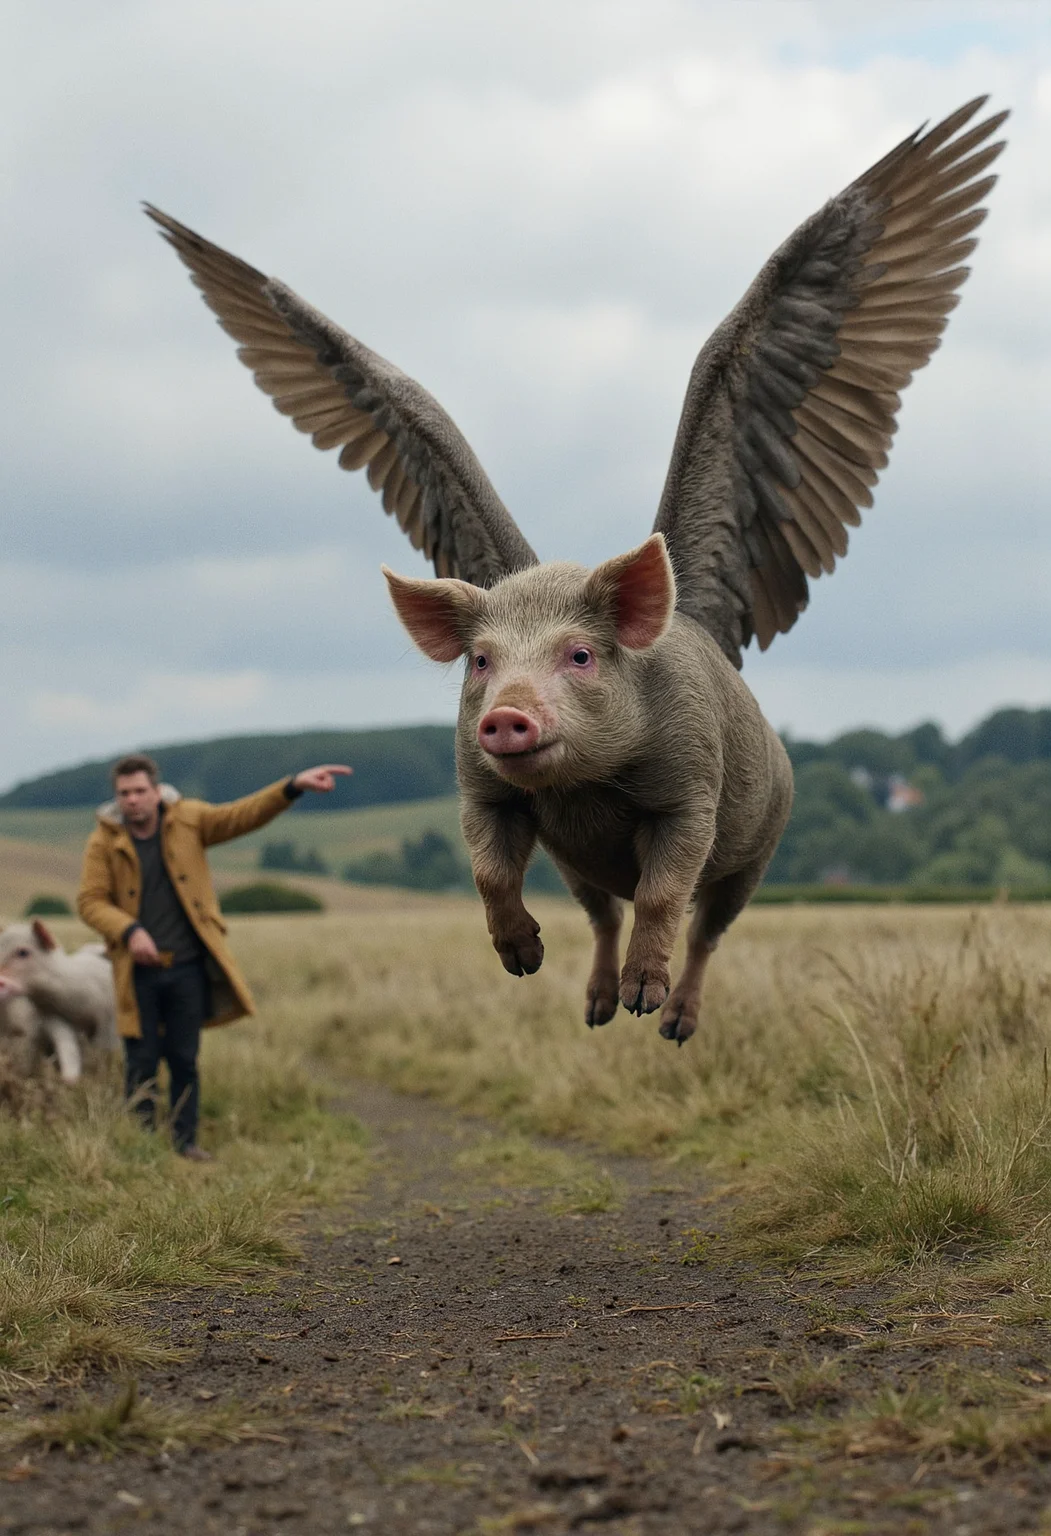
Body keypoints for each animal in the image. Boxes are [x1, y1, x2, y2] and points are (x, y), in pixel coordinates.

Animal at [146, 98, 1006, 1041]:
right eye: (481, 663)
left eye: (581, 655)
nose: (508, 713)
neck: (590, 787)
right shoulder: (483, 788)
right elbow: (488, 867)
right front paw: (522, 961)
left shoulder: (691, 795)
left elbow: (666, 892)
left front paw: (646, 999)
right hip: (581, 863)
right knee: (599, 912)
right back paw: (593, 1011)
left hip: (762, 838)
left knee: (707, 926)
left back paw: (666, 1023)